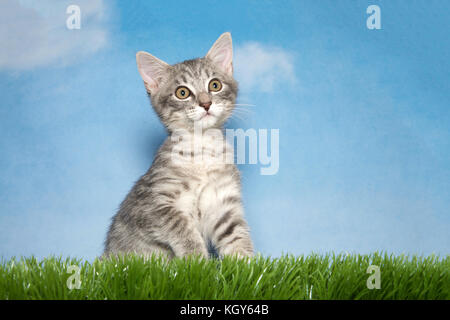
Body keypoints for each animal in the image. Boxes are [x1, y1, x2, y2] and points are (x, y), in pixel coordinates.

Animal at [103, 32, 255, 258]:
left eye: (215, 85)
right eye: (182, 92)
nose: (206, 103)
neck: (202, 150)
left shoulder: (223, 203)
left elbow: (236, 236)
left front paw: (246, 263)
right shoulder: (155, 205)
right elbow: (182, 228)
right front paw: (198, 260)